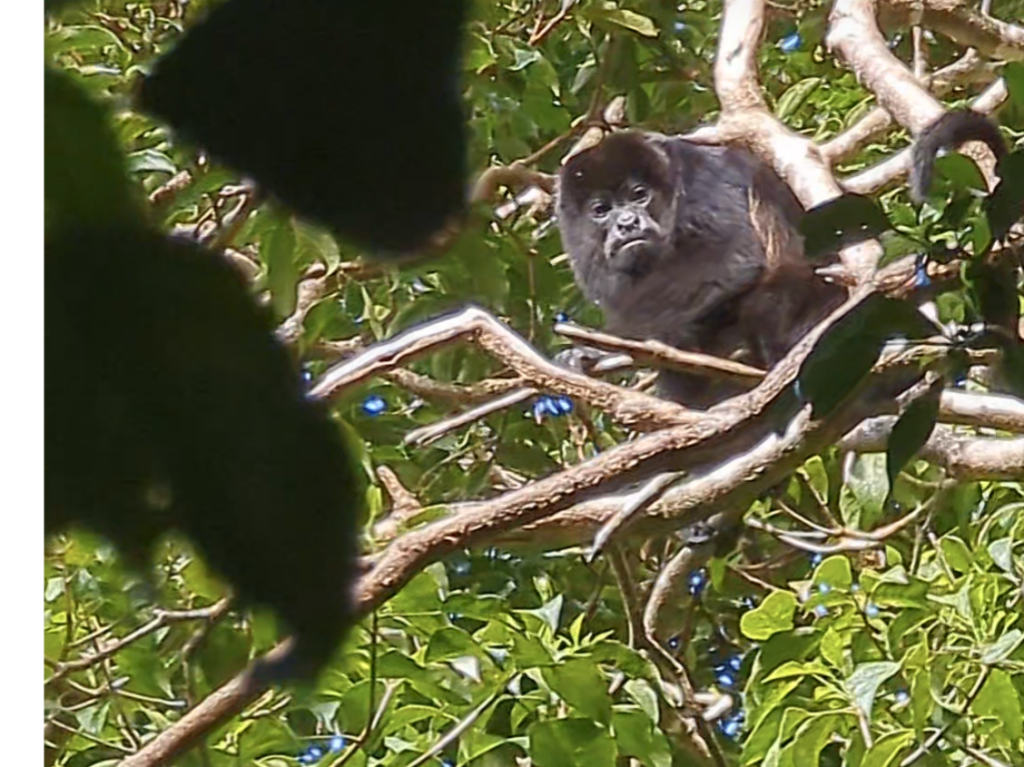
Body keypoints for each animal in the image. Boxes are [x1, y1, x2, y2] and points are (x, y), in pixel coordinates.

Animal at [555, 110, 1011, 408]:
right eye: (600, 209)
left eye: (638, 194)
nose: (626, 223)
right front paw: (583, 357)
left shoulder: (702, 177)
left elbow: (732, 258)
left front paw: (614, 343)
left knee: (774, 293)